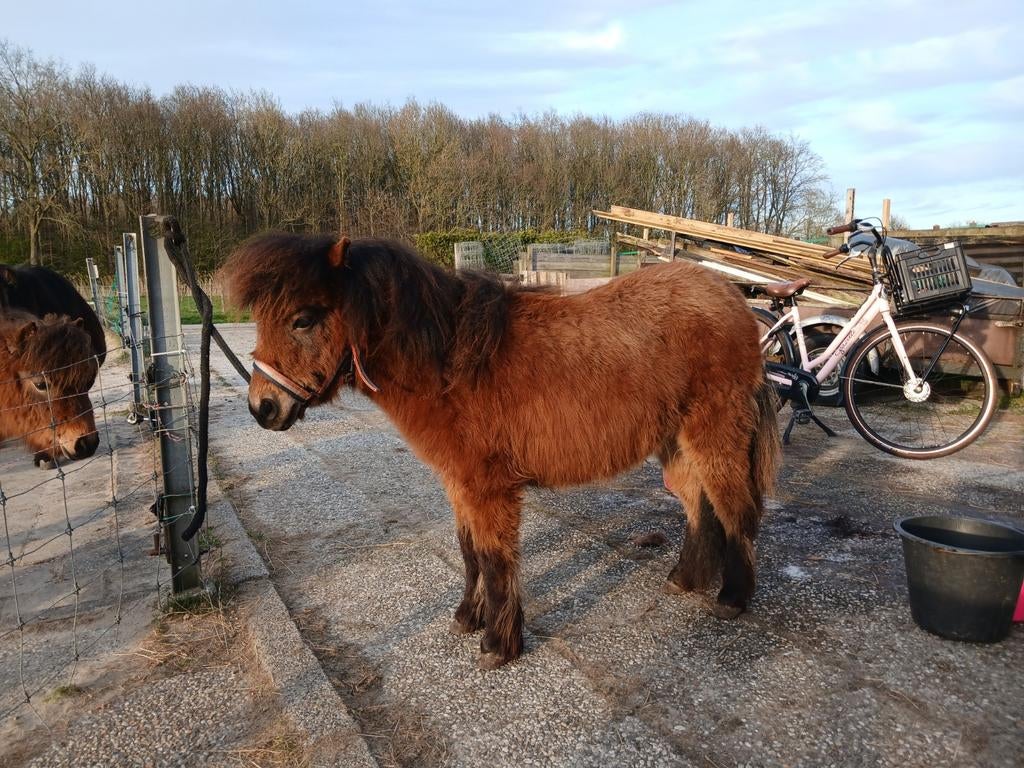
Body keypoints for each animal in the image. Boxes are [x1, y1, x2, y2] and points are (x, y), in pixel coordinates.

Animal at [225, 233, 781, 669]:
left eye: (302, 319)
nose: (262, 408)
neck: (452, 366)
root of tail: (730, 297)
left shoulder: (487, 487)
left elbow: (495, 560)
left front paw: (498, 644)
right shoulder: (458, 482)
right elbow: (470, 552)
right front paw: (467, 619)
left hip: (715, 435)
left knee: (736, 508)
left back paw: (731, 599)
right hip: (676, 445)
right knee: (700, 507)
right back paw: (685, 580)